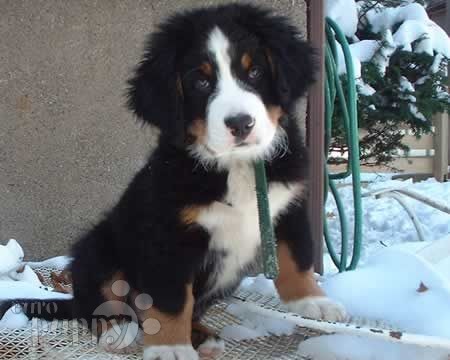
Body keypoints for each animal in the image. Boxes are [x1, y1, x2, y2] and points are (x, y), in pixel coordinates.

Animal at [0, 3, 346, 360]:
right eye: (201, 81)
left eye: (254, 72)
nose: (240, 124)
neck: (233, 165)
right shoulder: (167, 238)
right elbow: (171, 300)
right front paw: (171, 348)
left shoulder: (289, 205)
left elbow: (297, 257)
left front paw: (312, 301)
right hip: (99, 245)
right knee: (96, 300)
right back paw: (115, 329)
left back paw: (202, 336)